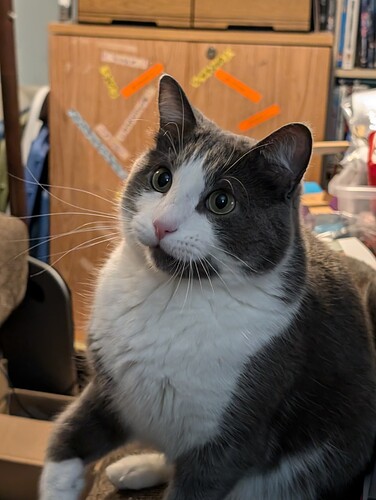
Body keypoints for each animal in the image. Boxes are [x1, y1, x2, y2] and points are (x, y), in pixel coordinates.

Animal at [39, 75, 376, 500]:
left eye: (221, 202)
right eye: (161, 178)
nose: (162, 224)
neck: (169, 297)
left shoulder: (233, 436)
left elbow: (200, 481)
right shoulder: (107, 390)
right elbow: (65, 442)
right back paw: (136, 466)